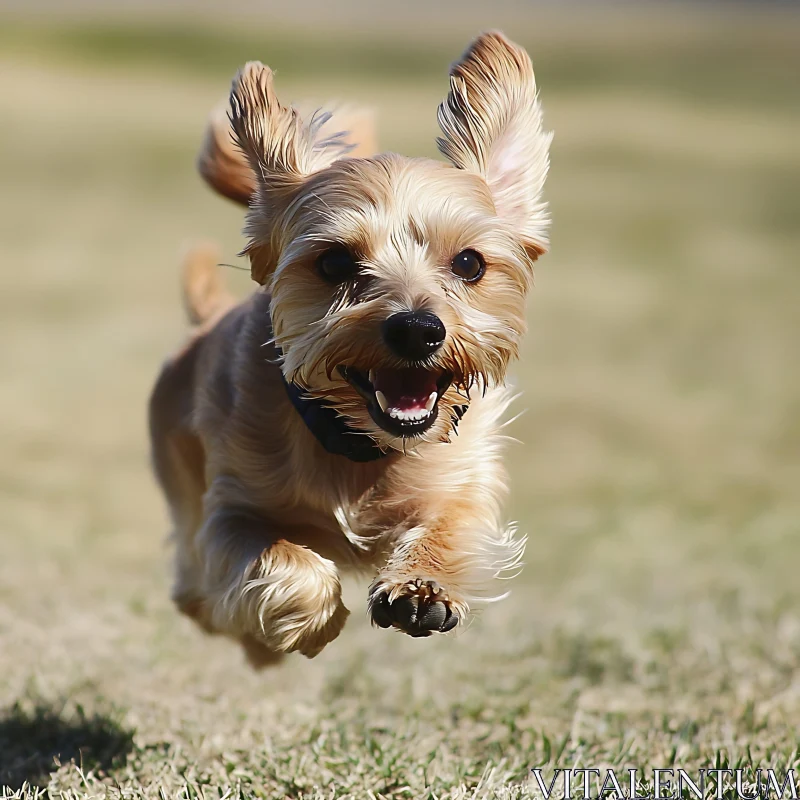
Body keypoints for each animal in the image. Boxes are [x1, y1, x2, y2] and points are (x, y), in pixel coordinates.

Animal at [148, 31, 552, 664]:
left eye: (469, 262)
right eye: (335, 262)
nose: (417, 329)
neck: (361, 448)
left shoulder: (465, 476)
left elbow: (454, 523)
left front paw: (422, 589)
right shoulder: (228, 513)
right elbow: (286, 562)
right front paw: (309, 623)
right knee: (197, 597)